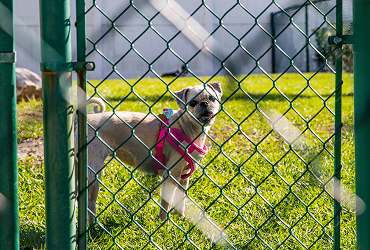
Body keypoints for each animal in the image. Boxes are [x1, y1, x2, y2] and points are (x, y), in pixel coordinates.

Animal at [73, 82, 221, 223]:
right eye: (193, 103)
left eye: (212, 98)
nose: (205, 103)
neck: (187, 128)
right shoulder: (171, 176)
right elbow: (166, 203)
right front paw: (164, 223)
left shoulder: (183, 178)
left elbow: (181, 201)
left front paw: (180, 219)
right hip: (93, 175)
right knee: (90, 205)